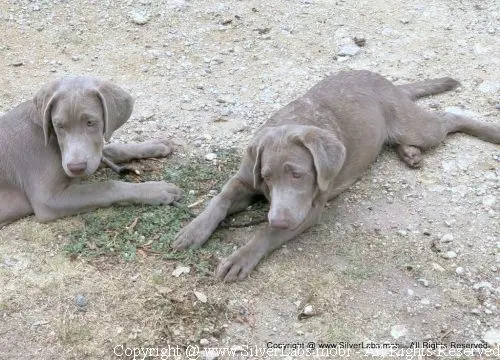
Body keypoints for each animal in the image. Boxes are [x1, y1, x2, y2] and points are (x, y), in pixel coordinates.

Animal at [0, 76, 182, 228]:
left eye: (90, 122)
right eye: (60, 126)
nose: (76, 168)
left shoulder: (91, 156)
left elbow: (113, 149)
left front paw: (157, 145)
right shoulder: (47, 200)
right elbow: (107, 187)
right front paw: (157, 190)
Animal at [173, 69, 500, 282]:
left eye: (298, 174)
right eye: (265, 177)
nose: (278, 218)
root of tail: (387, 82)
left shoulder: (309, 210)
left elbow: (264, 233)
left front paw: (240, 258)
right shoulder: (244, 179)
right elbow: (219, 199)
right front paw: (193, 231)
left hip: (417, 126)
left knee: (448, 117)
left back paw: (490, 132)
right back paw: (410, 154)